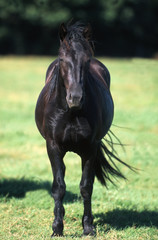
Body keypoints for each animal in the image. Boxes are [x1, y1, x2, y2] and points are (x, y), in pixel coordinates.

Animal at [35, 22, 131, 236]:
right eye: (62, 59)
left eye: (86, 60)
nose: (75, 98)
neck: (71, 113)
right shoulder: (53, 147)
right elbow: (59, 187)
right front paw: (57, 228)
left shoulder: (90, 149)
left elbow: (86, 187)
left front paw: (88, 227)